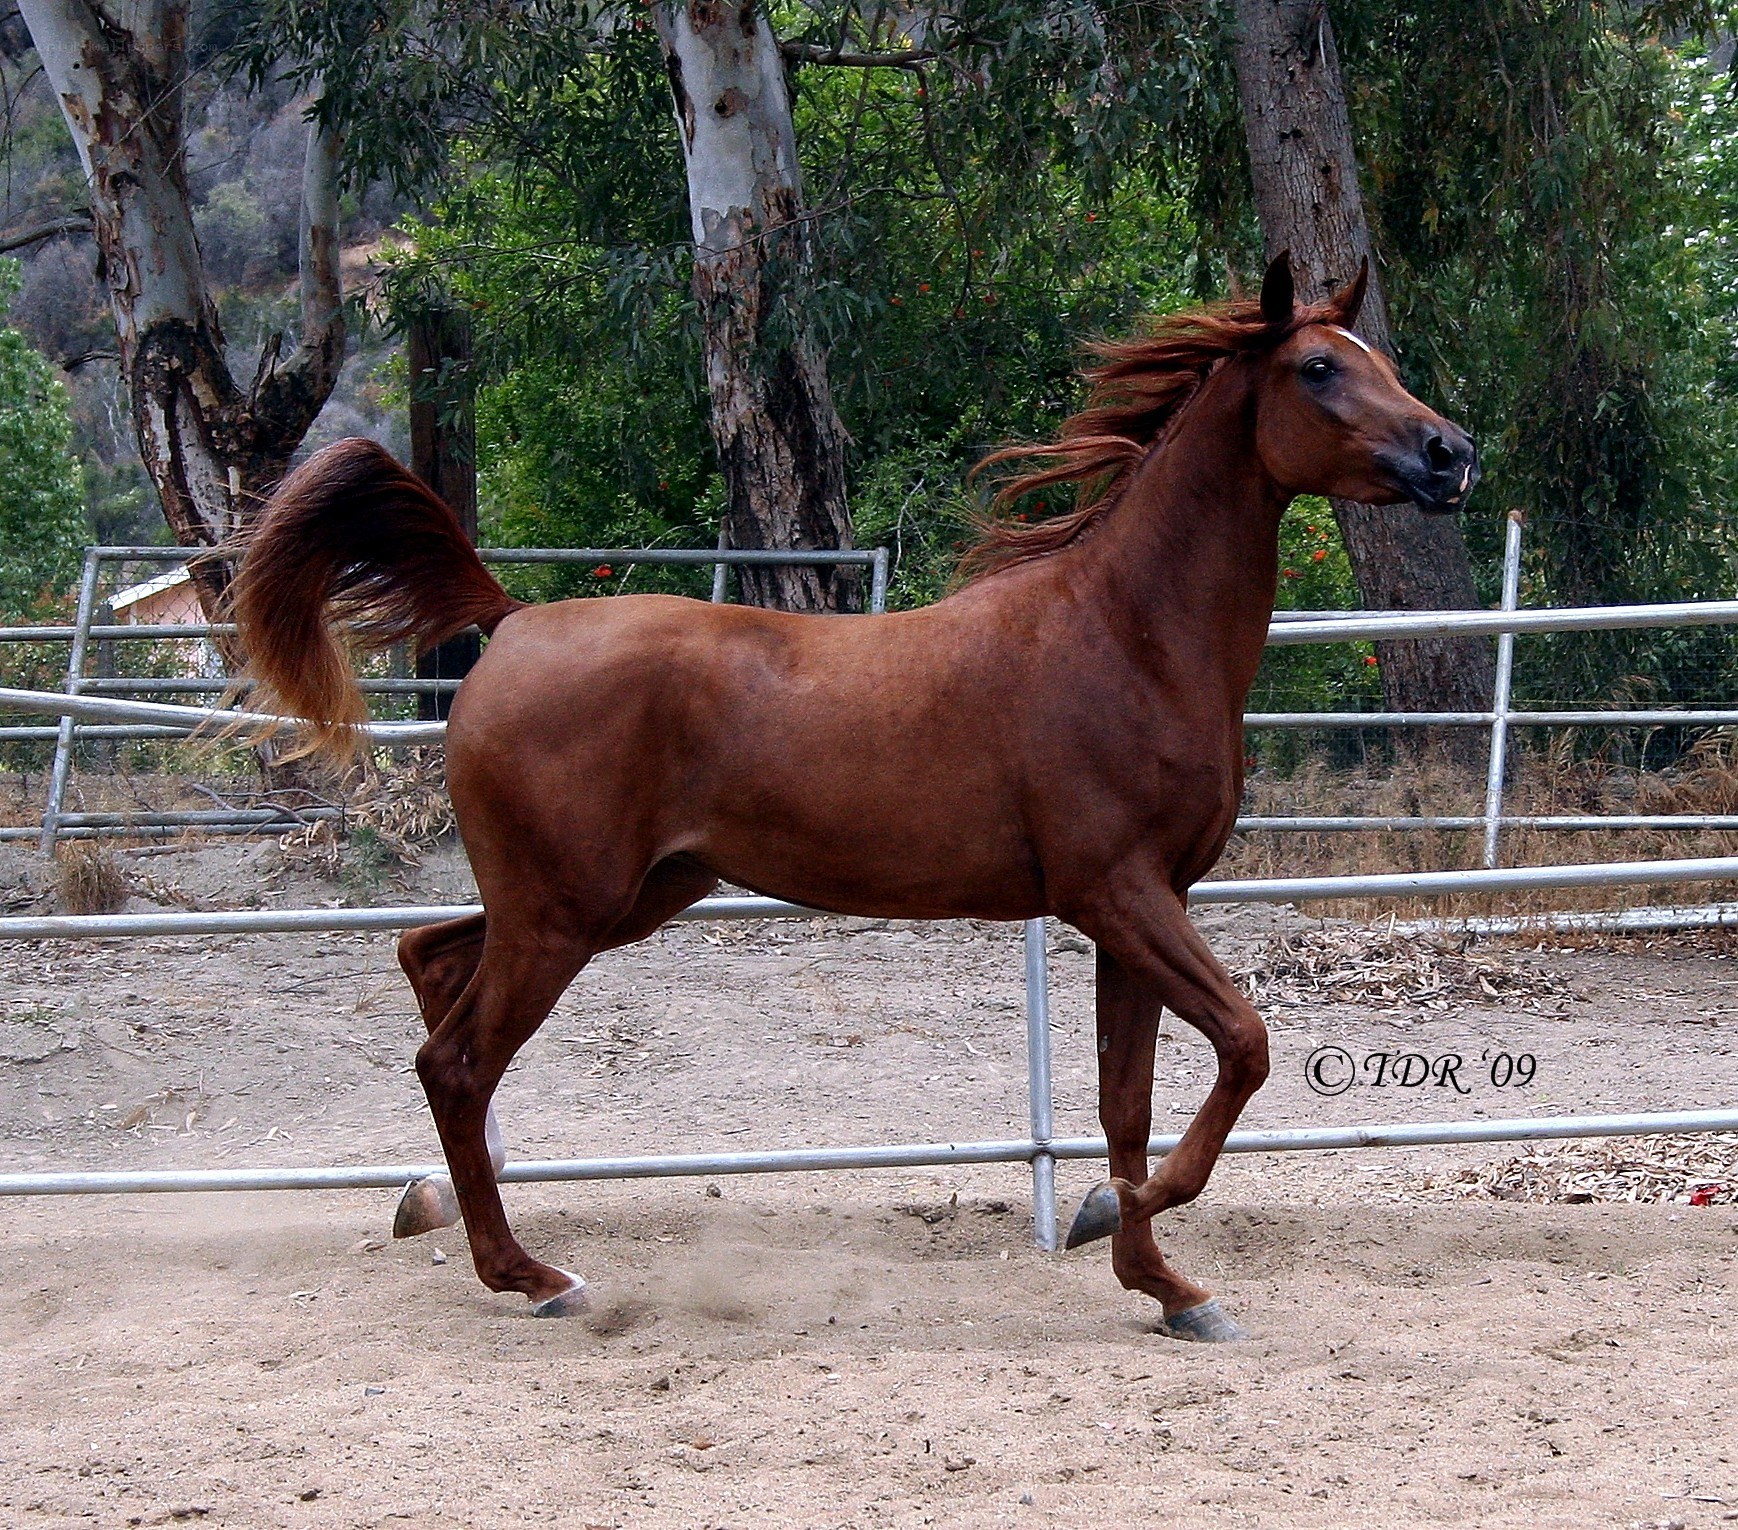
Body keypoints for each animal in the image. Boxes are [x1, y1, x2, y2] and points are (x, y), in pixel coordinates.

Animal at [231, 252, 1477, 1341]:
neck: (1124, 635)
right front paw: (1117, 1220)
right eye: (1316, 369)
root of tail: (516, 620)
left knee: (430, 964)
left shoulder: (1137, 910)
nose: (1450, 454)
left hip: (615, 899)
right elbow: (1245, 1046)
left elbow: (1128, 1103)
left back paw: (449, 1214)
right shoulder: (1115, 895)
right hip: (563, 915)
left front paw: (1160, 1281)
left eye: (1371, 356)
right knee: (455, 1060)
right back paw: (534, 1278)